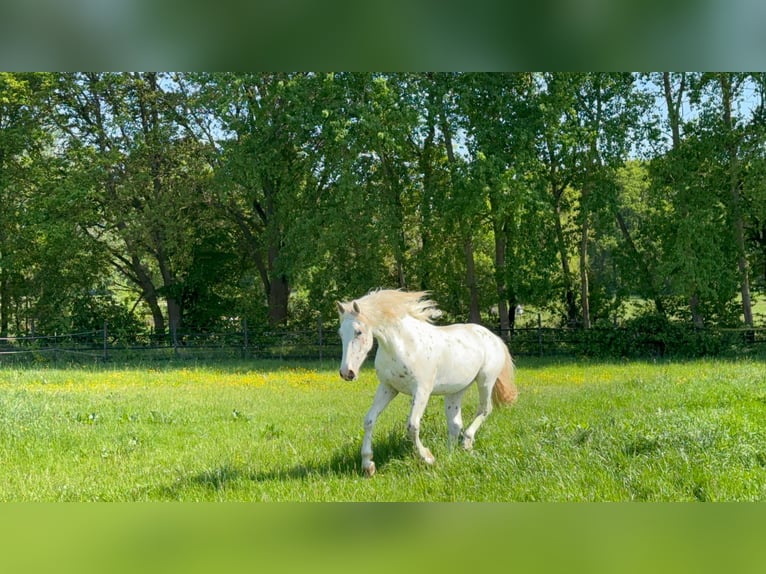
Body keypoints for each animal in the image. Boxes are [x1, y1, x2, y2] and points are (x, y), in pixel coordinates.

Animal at [336, 289, 518, 477]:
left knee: (484, 410)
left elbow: (412, 426)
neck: (404, 345)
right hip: (456, 391)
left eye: (358, 332)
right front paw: (368, 465)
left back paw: (466, 443)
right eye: (340, 333)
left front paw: (427, 458)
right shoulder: (388, 388)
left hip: (485, 381)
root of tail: (495, 338)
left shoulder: (422, 390)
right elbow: (369, 420)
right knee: (455, 423)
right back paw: (449, 454)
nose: (347, 372)